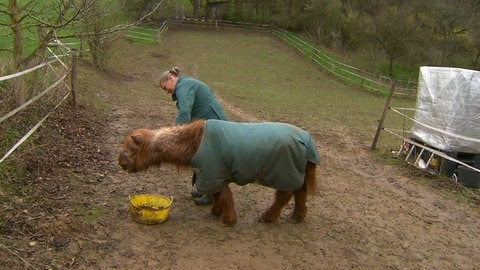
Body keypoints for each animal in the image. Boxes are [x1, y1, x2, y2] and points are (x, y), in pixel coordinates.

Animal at [118, 119, 320, 226]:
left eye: (131, 148)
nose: (120, 162)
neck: (194, 143)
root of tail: (307, 141)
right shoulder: (212, 175)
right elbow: (218, 196)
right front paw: (216, 212)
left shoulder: (213, 173)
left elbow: (224, 196)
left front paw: (228, 219)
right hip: (295, 174)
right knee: (300, 193)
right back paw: (297, 217)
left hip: (284, 174)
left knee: (284, 196)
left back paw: (268, 217)